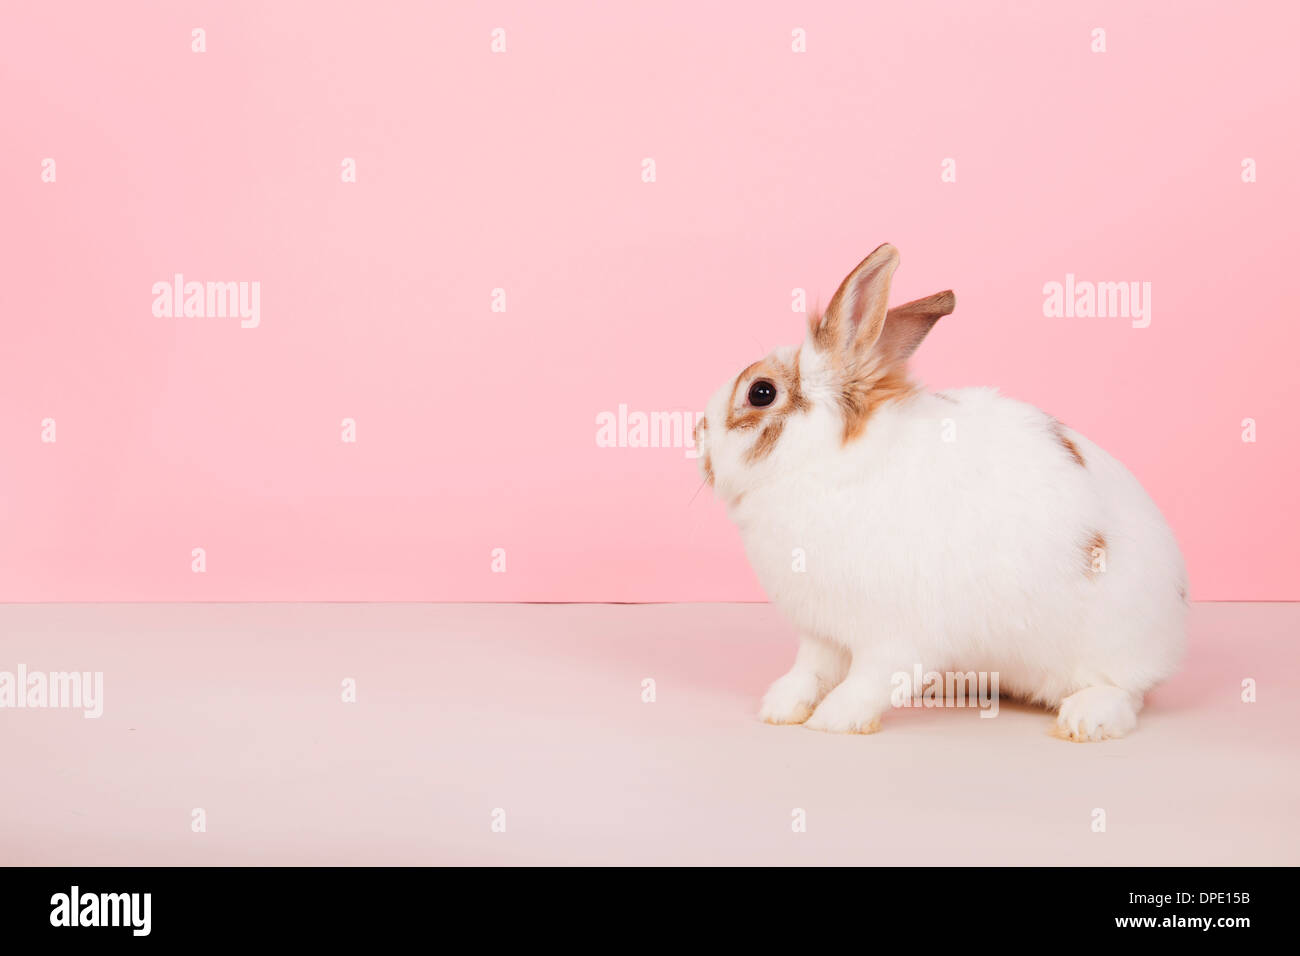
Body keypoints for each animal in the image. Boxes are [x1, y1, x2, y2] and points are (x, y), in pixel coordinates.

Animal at [695, 243, 1187, 741]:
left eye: (761, 392)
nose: (699, 436)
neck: (823, 467)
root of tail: (1173, 621)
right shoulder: (821, 634)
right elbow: (808, 671)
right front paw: (780, 709)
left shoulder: (895, 635)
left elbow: (872, 679)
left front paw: (837, 720)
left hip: (1108, 649)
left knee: (1125, 693)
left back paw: (1084, 720)